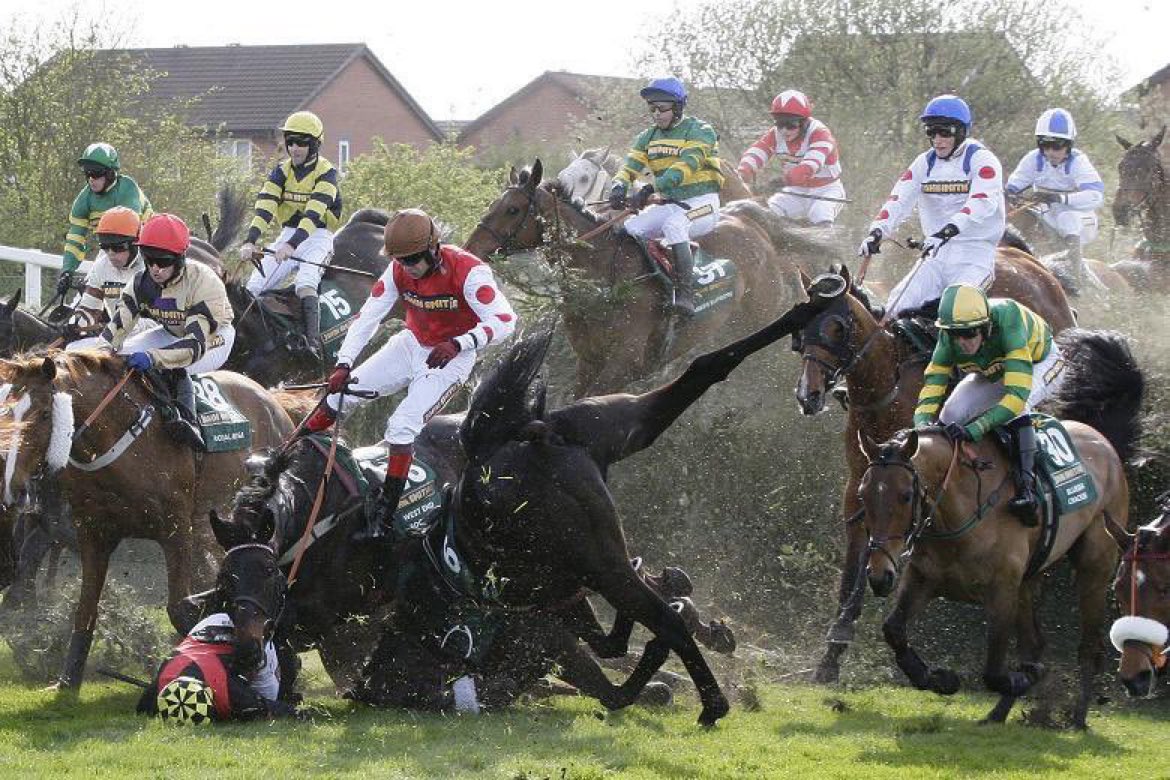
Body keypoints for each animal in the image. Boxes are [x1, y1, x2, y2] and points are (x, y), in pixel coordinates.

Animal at [0, 353, 297, 687]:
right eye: (7, 413)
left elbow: (181, 609)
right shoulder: (92, 534)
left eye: (43, 414)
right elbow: (85, 610)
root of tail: (274, 402)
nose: (13, 488)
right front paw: (67, 680)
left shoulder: (176, 529)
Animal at [463, 156, 823, 397]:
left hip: (763, 311)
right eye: (492, 205)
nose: (470, 249)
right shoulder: (588, 363)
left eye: (512, 209)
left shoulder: (624, 364)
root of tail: (747, 218)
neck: (601, 281)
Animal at [786, 264, 1076, 682]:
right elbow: (853, 572)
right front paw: (832, 653)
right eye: (799, 331)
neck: (887, 387)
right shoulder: (860, 485)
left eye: (837, 327)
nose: (807, 395)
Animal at [856, 329, 1137, 725]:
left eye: (906, 495)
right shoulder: (923, 577)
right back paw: (998, 715)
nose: (879, 575)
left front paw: (1023, 677)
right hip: (1030, 581)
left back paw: (1077, 718)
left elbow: (994, 669)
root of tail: (1102, 440)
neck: (955, 516)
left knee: (1089, 647)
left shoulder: (1002, 590)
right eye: (863, 495)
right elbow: (893, 630)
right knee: (1036, 643)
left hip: (1095, 564)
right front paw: (937, 677)